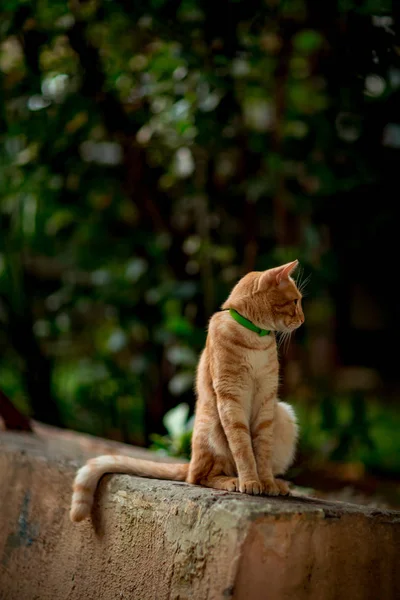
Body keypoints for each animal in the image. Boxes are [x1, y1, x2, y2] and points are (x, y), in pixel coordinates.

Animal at [71, 260, 304, 524]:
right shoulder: (230, 399)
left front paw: (265, 482)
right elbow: (244, 449)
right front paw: (250, 481)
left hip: (282, 413)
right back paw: (232, 480)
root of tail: (189, 461)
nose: (302, 318)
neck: (254, 336)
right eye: (295, 301)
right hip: (213, 422)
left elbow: (261, 451)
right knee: (200, 477)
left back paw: (277, 483)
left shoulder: (266, 400)